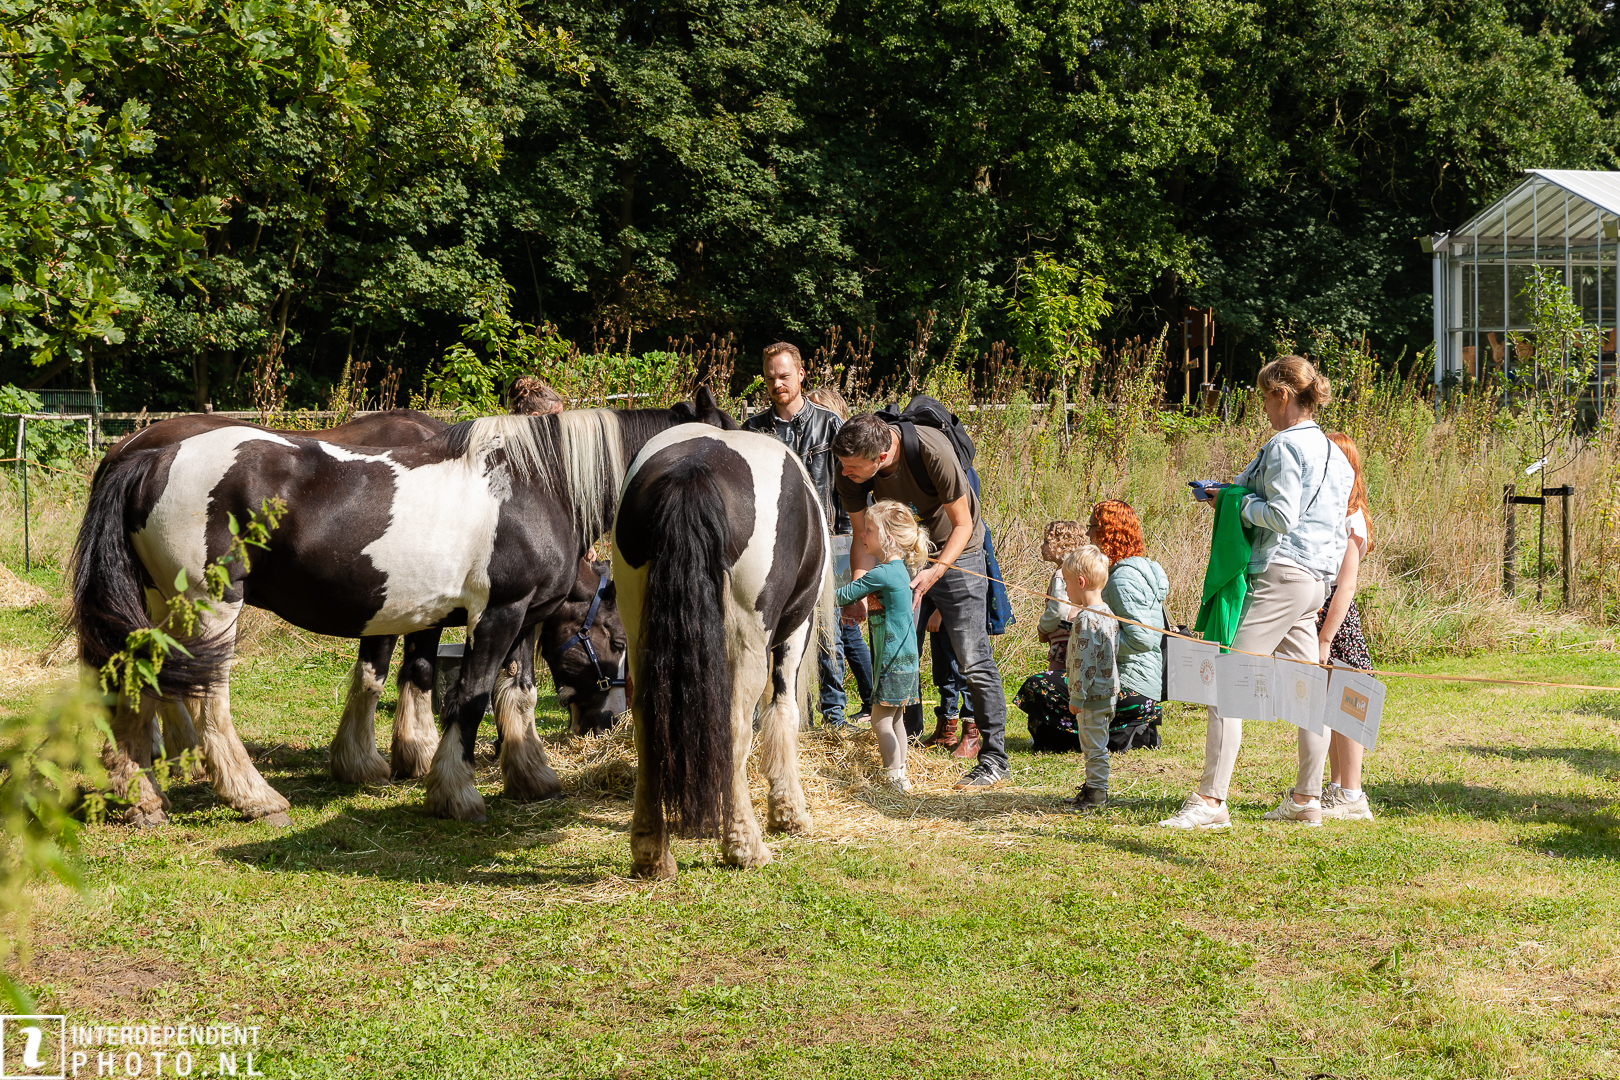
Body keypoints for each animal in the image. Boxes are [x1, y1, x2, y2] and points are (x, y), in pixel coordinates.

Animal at [73, 391, 734, 826]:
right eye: (616, 641)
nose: (610, 721)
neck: (536, 486)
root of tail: (148, 456)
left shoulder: (519, 618)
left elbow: (509, 693)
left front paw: (529, 776)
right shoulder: (496, 615)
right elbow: (469, 697)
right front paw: (454, 791)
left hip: (156, 607)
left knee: (137, 687)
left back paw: (143, 797)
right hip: (210, 609)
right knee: (206, 698)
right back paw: (251, 795)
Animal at [611, 426, 833, 879]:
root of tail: (691, 471)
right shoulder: (795, 629)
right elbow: (782, 712)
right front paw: (789, 812)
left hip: (639, 629)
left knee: (646, 724)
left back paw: (652, 853)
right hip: (750, 638)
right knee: (735, 727)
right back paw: (745, 845)